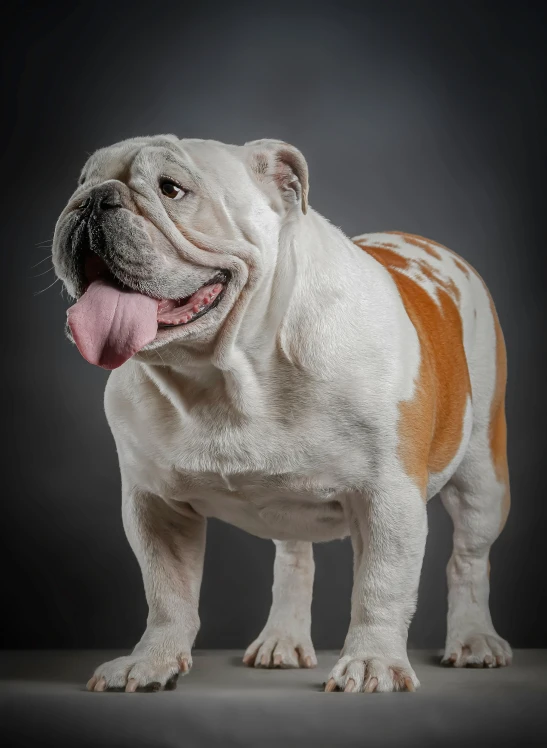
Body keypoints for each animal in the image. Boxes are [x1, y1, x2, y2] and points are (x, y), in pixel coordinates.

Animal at [53, 136, 512, 696]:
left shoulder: (389, 494)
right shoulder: (155, 505)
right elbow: (167, 591)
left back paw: (473, 641)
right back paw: (282, 640)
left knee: (469, 558)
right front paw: (151, 661)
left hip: (483, 478)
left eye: (172, 189)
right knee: (294, 559)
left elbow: (382, 585)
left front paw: (373, 662)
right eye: (80, 182)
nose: (94, 199)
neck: (230, 370)